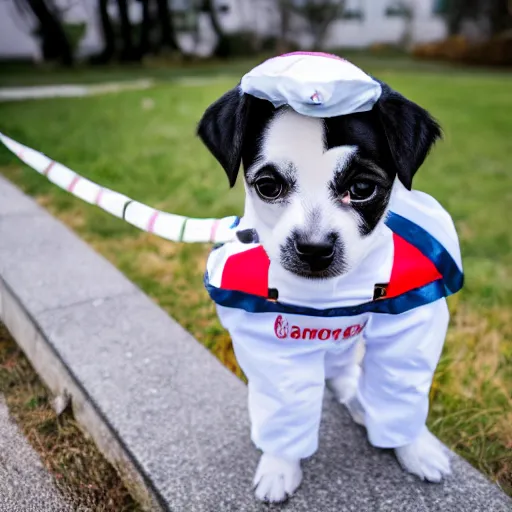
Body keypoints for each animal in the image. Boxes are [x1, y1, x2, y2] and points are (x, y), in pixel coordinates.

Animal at [196, 54, 464, 502]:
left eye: (362, 188)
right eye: (268, 186)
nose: (314, 248)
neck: (333, 295)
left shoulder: (409, 328)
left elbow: (400, 390)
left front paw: (414, 447)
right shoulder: (275, 342)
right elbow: (285, 407)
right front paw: (280, 465)